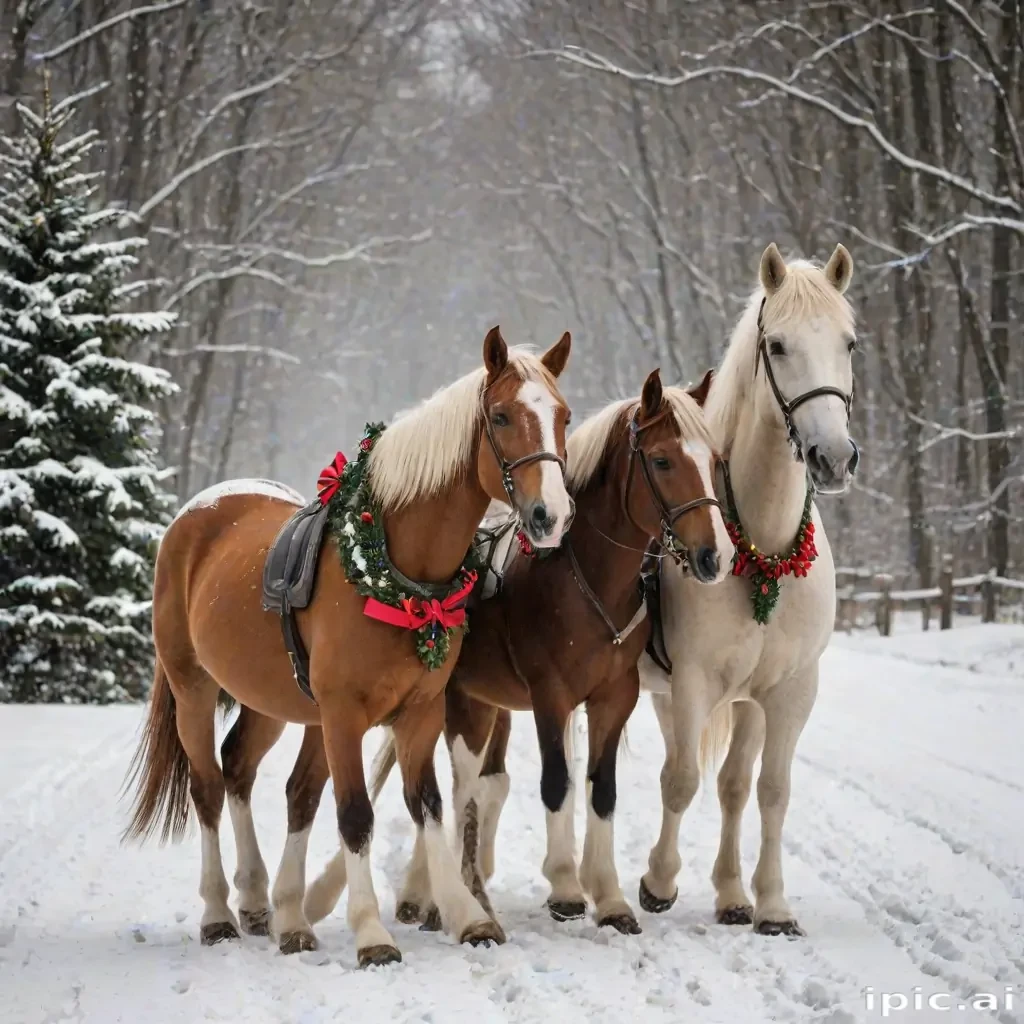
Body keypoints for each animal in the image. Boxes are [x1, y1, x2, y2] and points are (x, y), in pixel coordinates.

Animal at [122, 326, 575, 967]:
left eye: (562, 415)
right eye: (502, 415)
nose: (549, 516)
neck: (399, 572)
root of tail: (196, 515)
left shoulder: (419, 712)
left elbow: (425, 803)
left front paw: (465, 915)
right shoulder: (343, 714)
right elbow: (355, 813)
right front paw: (372, 933)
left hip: (276, 701)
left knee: (254, 775)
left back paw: (271, 906)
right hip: (195, 688)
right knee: (209, 786)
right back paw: (218, 914)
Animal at [301, 368, 735, 938]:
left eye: (714, 462)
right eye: (662, 460)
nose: (716, 555)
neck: (584, 578)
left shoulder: (615, 698)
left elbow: (601, 790)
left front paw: (611, 899)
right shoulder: (550, 694)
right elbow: (556, 782)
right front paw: (567, 887)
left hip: (480, 703)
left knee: (470, 786)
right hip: (456, 702)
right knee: (458, 786)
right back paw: (431, 894)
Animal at [636, 242, 859, 937]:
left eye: (849, 342)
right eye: (779, 345)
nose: (833, 457)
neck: (761, 544)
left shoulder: (784, 691)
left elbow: (765, 789)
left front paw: (767, 902)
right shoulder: (693, 680)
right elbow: (680, 779)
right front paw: (658, 883)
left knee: (733, 782)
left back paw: (734, 894)